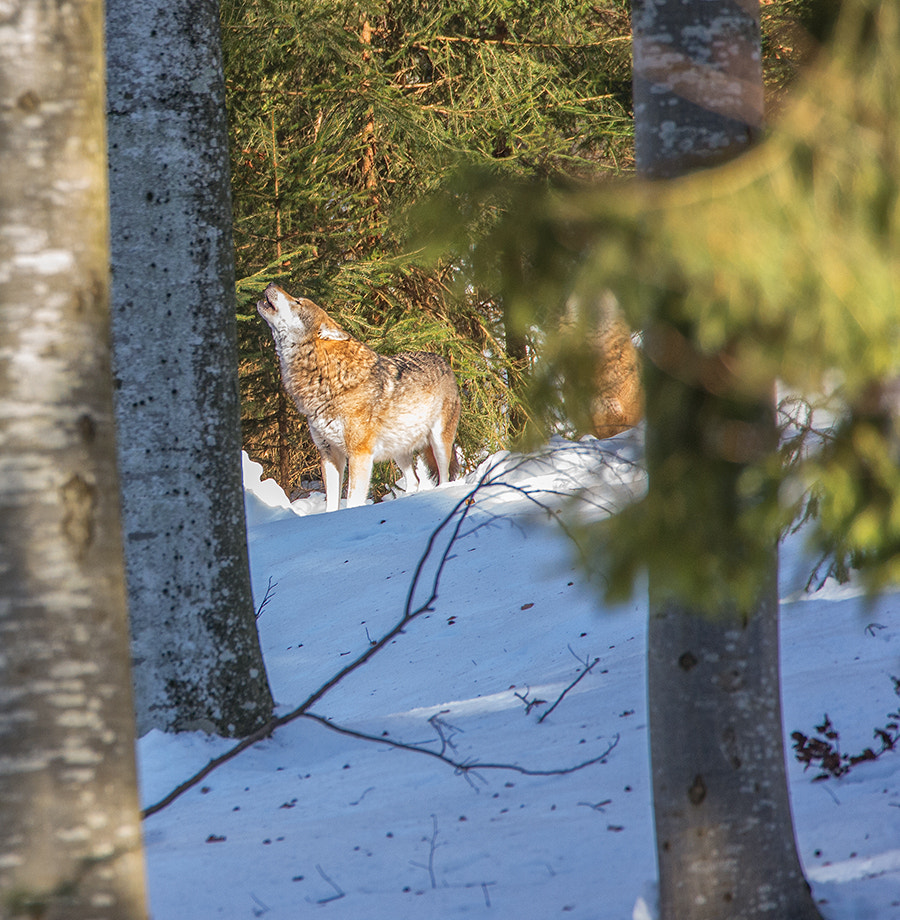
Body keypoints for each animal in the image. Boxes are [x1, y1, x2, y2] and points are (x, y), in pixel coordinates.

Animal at [257, 283, 461, 511]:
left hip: (439, 443)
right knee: (414, 480)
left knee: (445, 478)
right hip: (399, 451)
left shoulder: (359, 454)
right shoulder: (328, 453)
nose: (270, 284)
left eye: (298, 302)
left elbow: (353, 500)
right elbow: (332, 504)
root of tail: (442, 360)